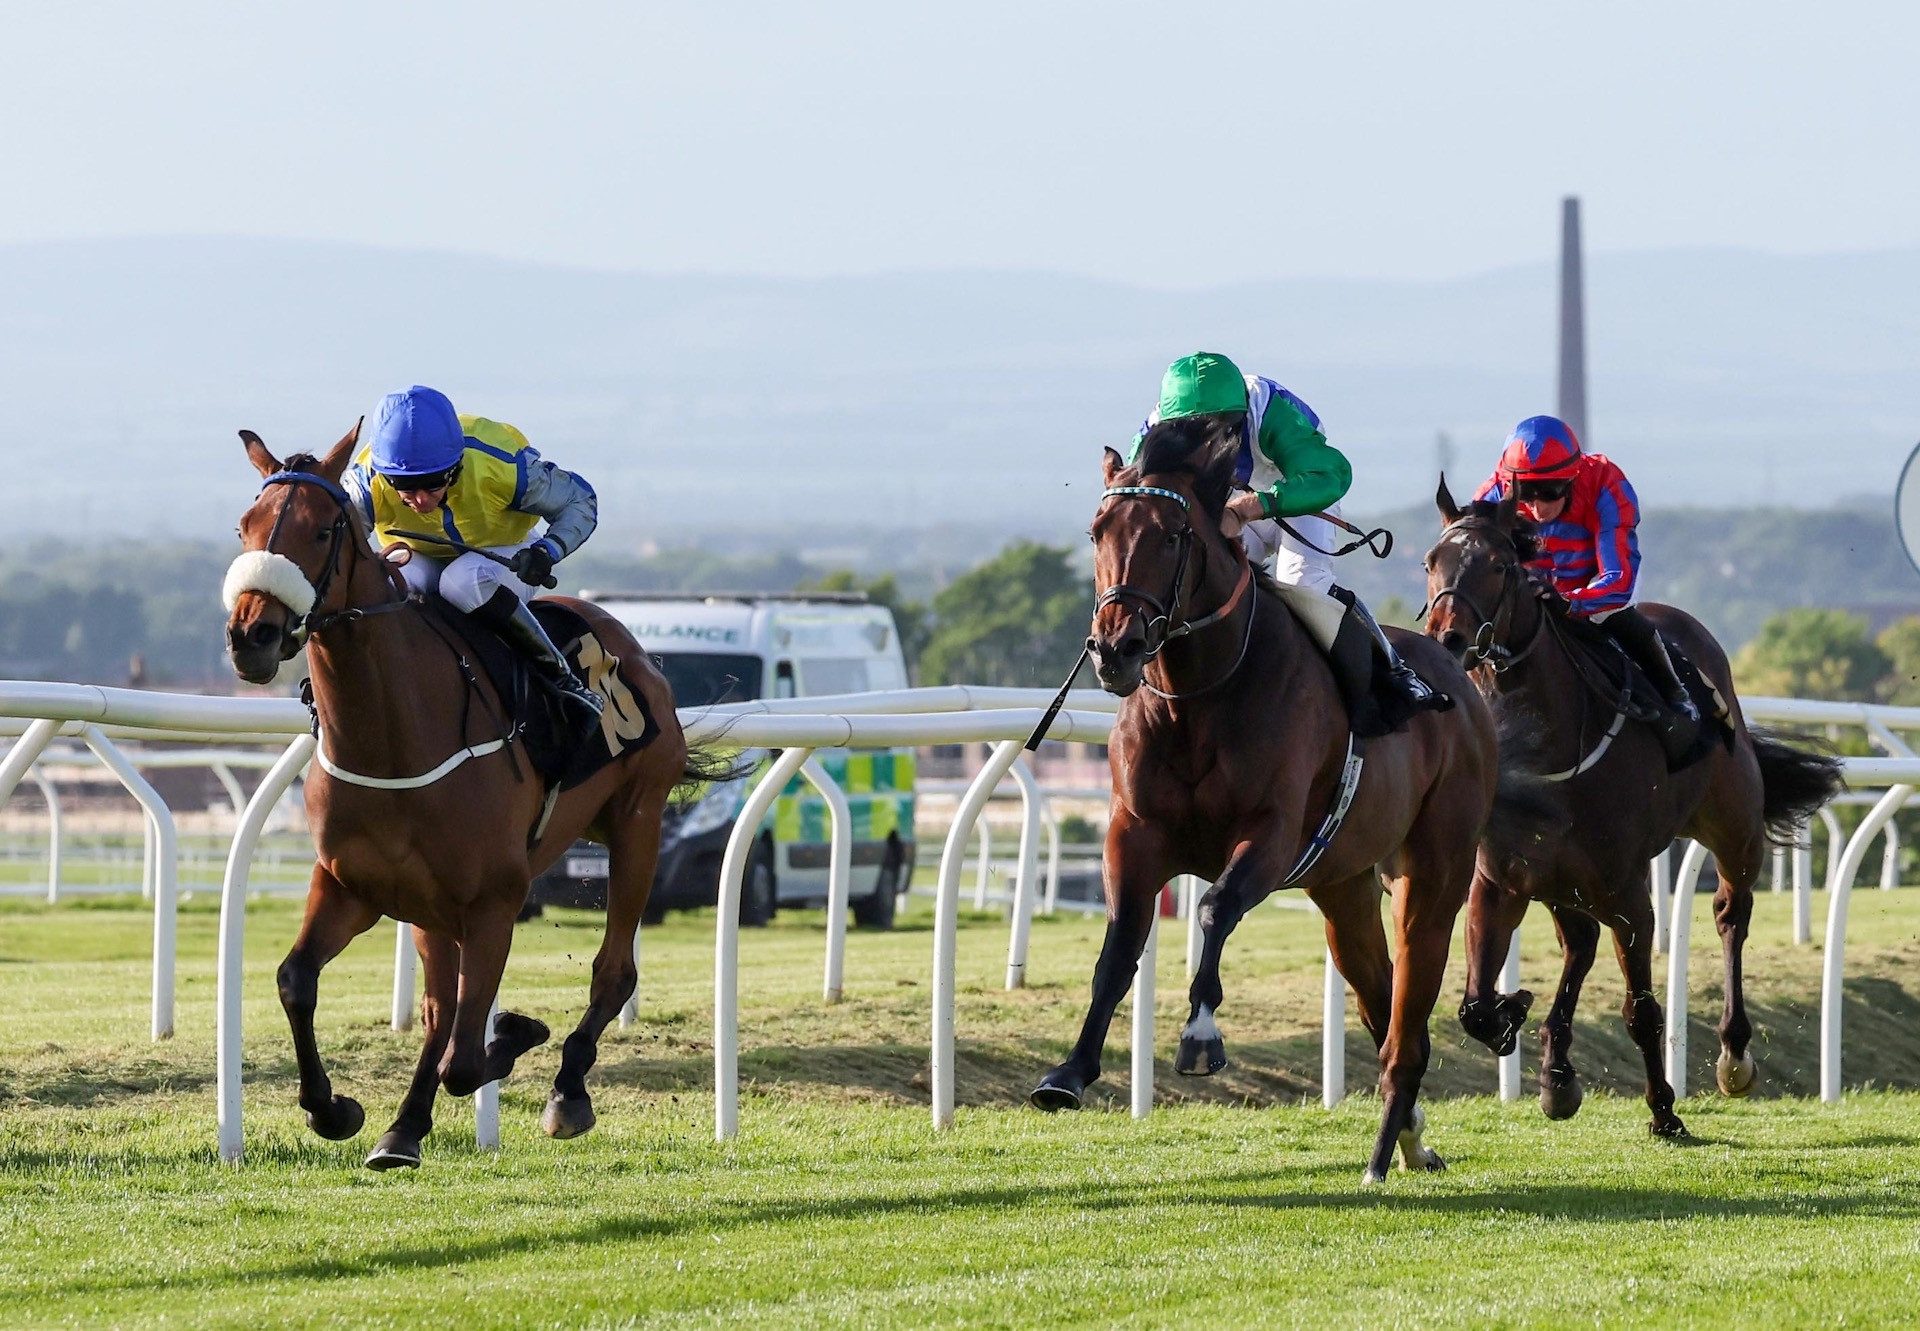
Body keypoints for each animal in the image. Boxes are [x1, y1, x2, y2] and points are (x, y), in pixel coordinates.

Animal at [222, 420, 706, 1167]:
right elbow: (297, 980)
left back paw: (567, 1089)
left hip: (637, 822)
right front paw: (336, 1109)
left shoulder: (495, 901)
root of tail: (627, 641)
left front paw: (515, 1032)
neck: (394, 737)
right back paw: (404, 1129)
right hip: (429, 905)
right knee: (439, 1008)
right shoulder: (350, 884)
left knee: (611, 970)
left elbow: (467, 1054)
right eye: (245, 525)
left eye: (325, 529)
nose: (253, 633)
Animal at [1029, 426, 1536, 1183]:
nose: (1116, 647)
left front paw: (1201, 1035)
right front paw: (1069, 1071)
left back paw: (1384, 1153)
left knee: (1409, 1017)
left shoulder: (1271, 835)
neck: (1200, 695)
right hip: (1343, 889)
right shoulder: (1134, 833)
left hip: (1433, 873)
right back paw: (1412, 1136)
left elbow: (1214, 908)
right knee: (1381, 1002)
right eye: (1098, 530)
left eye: (1173, 533)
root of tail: (1458, 677)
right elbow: (1118, 946)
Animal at [1428, 482, 1843, 1137]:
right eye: (1430, 562)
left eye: (1497, 565)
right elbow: (1474, 1008)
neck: (1550, 746)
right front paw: (1516, 1015)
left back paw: (1733, 1054)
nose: (1445, 637)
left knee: (1731, 913)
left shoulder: (1627, 890)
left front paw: (1665, 1111)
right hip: (1563, 883)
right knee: (1579, 944)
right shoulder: (1501, 882)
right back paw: (1556, 1074)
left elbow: (1642, 1010)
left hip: (1733, 828)